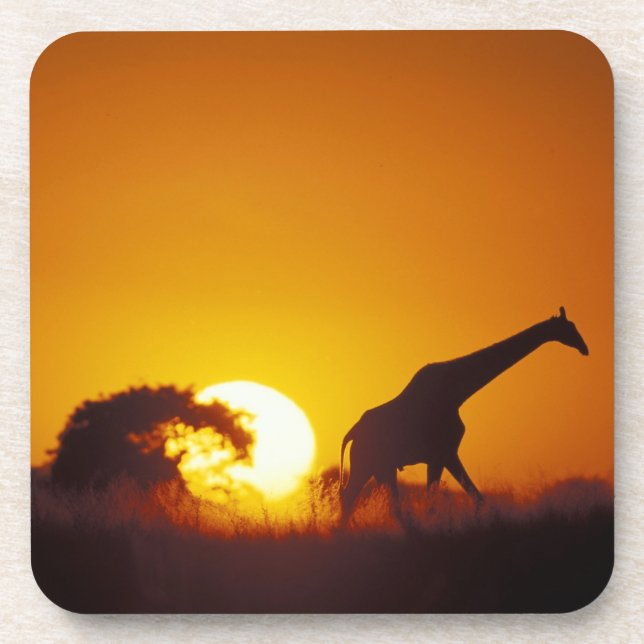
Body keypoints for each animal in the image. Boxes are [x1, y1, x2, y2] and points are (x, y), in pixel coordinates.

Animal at [339, 307, 589, 523]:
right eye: (569, 328)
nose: (585, 348)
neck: (457, 393)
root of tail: (351, 434)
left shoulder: (443, 455)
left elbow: (472, 498)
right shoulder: (443, 452)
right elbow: (447, 501)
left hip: (382, 467)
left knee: (378, 503)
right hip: (368, 463)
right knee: (351, 498)